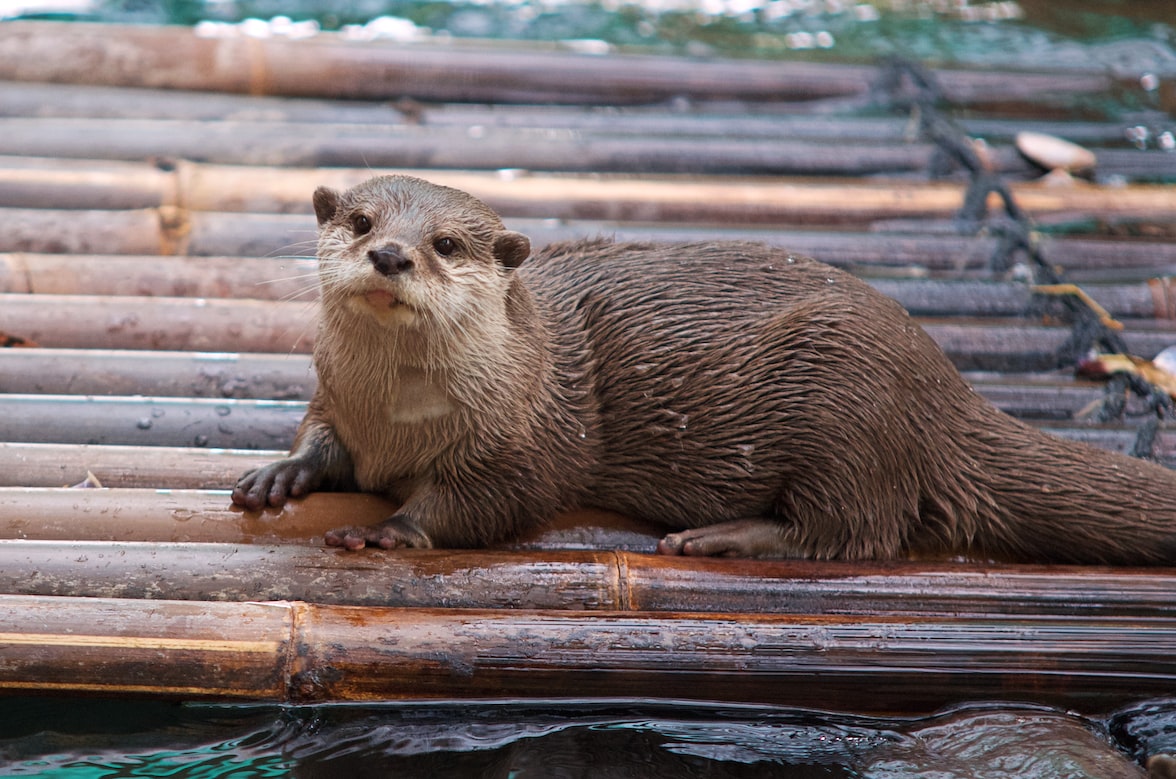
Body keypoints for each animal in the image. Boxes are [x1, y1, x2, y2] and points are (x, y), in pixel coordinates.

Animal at [231, 174, 1176, 564]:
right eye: (360, 221)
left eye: (447, 244)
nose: (391, 254)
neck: (399, 418)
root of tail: (946, 388)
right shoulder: (336, 398)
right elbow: (320, 436)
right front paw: (282, 473)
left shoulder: (530, 438)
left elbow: (491, 503)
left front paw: (391, 528)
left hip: (847, 396)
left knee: (857, 529)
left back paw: (723, 535)